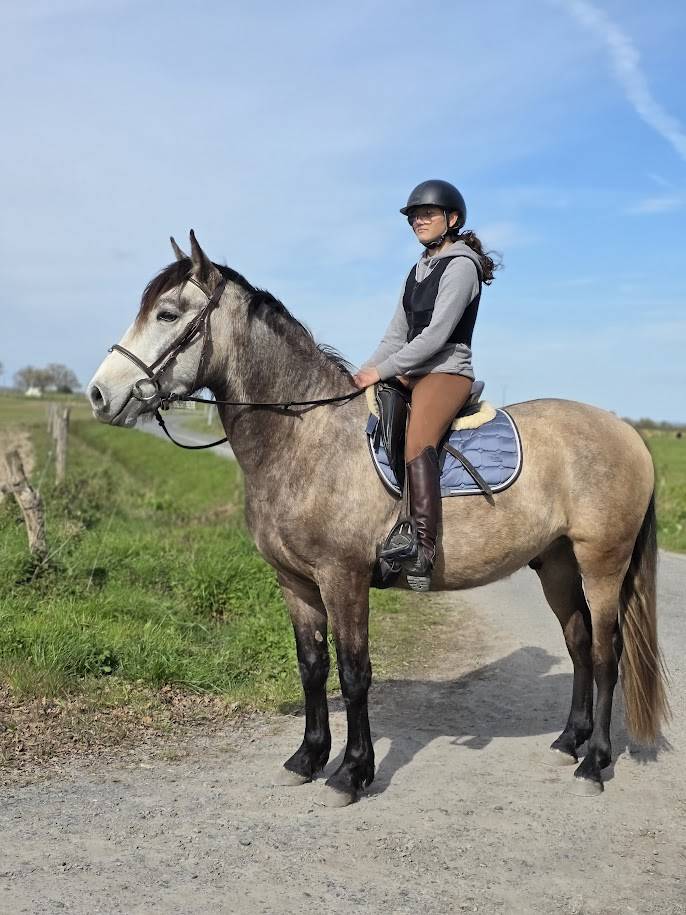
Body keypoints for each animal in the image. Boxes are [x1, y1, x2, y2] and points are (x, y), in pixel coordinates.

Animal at [88, 232, 669, 805]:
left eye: (166, 313)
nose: (99, 395)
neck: (305, 436)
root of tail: (629, 434)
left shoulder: (341, 577)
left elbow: (354, 672)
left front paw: (352, 772)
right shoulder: (295, 581)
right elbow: (312, 666)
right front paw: (307, 758)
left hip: (602, 563)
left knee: (606, 653)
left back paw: (594, 762)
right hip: (557, 564)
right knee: (578, 642)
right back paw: (569, 742)